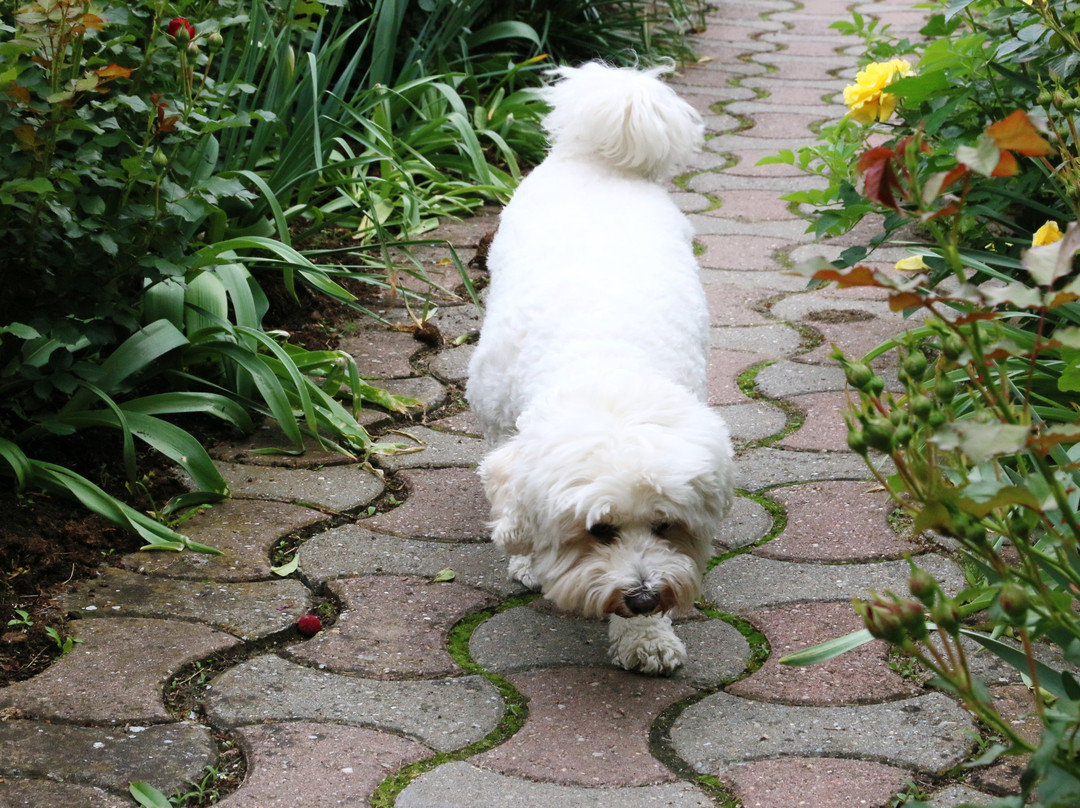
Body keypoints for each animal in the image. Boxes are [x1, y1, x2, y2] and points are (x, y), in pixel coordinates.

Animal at [464, 61, 734, 674]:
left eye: (665, 525)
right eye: (599, 530)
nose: (644, 596)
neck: (608, 362)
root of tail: (598, 158)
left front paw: (647, 637)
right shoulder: (502, 418)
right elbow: (510, 502)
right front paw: (523, 557)